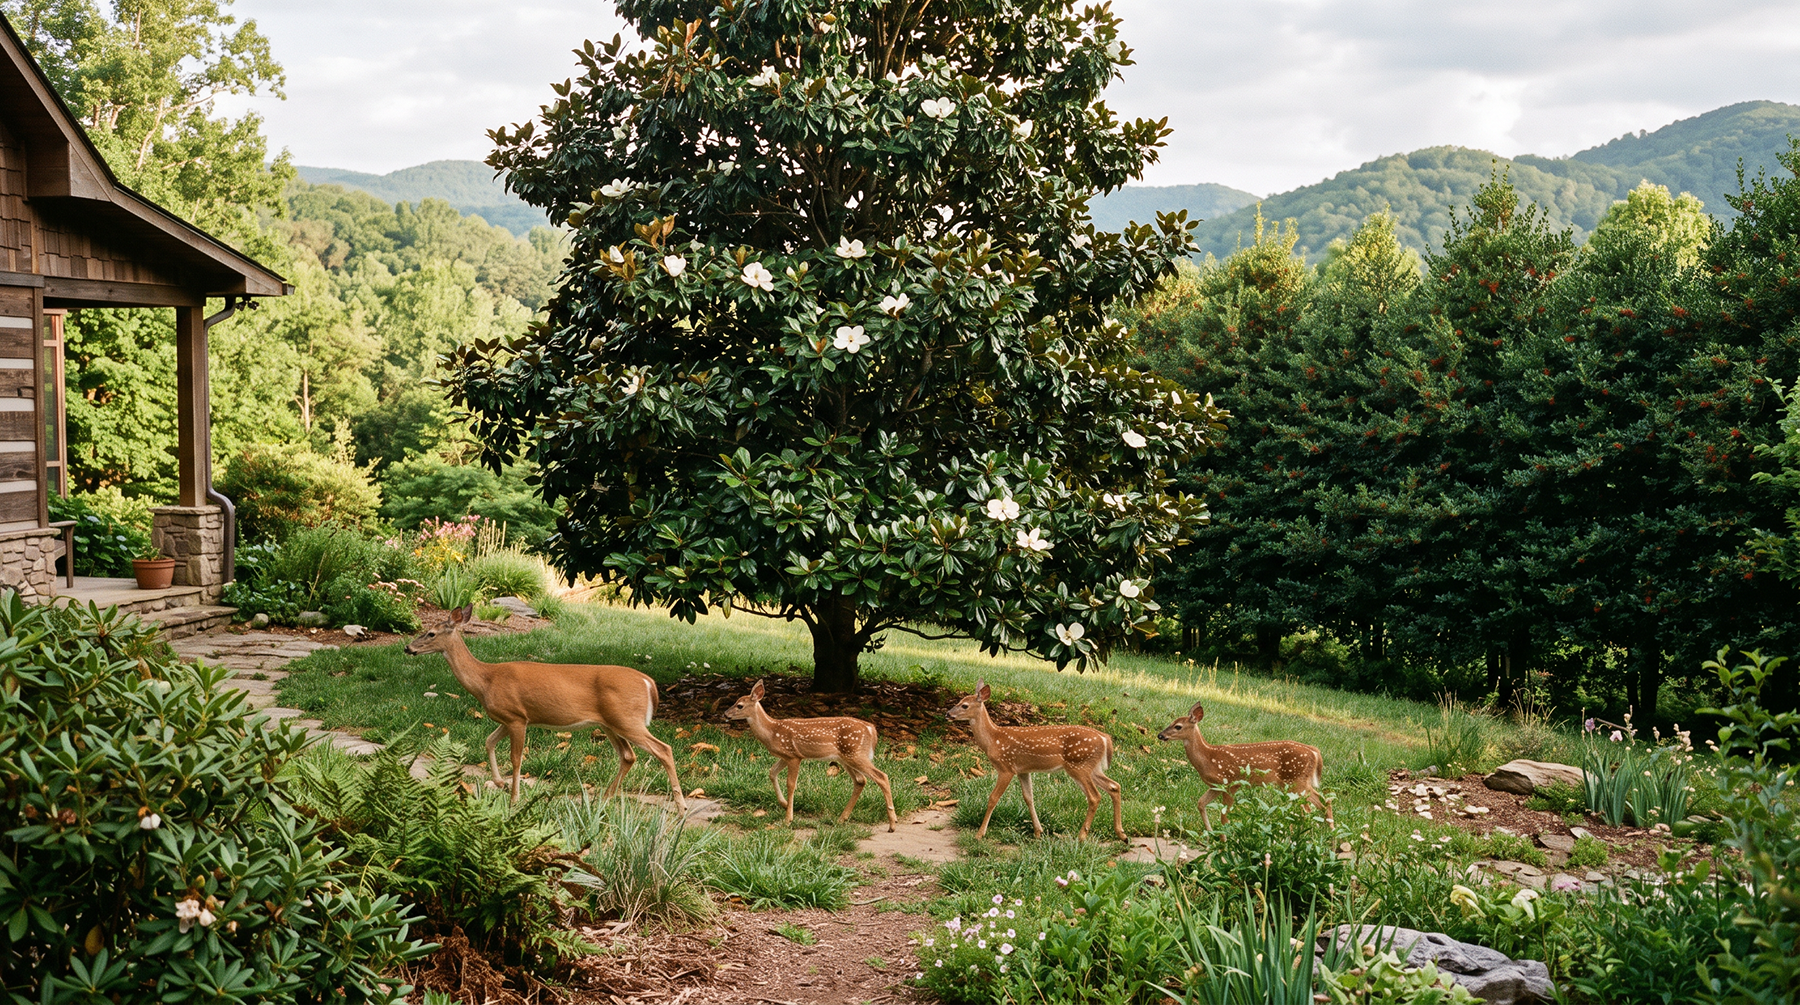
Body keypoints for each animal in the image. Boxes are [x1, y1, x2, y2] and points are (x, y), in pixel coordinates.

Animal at [403, 605, 686, 811]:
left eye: (431, 633)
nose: (407, 647)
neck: (486, 680)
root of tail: (649, 682)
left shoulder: (517, 717)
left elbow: (516, 759)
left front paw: (514, 799)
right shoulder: (511, 718)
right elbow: (488, 741)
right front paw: (500, 783)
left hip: (627, 719)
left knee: (664, 749)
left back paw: (680, 806)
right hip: (611, 723)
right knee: (628, 756)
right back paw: (603, 800)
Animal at [722, 680, 898, 831]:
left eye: (739, 705)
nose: (725, 714)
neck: (772, 731)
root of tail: (872, 730)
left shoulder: (794, 756)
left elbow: (791, 784)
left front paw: (788, 819)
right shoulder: (785, 756)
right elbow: (772, 772)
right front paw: (784, 804)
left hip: (855, 754)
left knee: (882, 776)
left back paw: (892, 824)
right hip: (846, 757)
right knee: (861, 781)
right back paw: (842, 819)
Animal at [946, 681, 1125, 842]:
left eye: (964, 705)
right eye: (958, 701)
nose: (947, 713)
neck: (993, 739)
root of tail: (1105, 738)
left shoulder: (1006, 767)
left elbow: (993, 798)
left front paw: (979, 834)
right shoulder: (1023, 770)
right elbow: (1029, 798)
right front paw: (1038, 832)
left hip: (1078, 765)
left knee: (1095, 796)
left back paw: (1082, 836)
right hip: (1091, 767)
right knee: (1114, 786)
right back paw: (1122, 835)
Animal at [1157, 701, 1331, 829]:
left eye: (1178, 726)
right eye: (1171, 722)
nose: (1160, 735)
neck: (1208, 758)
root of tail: (1315, 752)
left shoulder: (1231, 783)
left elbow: (1224, 818)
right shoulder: (1215, 786)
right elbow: (1201, 804)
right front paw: (1210, 835)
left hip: (1296, 781)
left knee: (1313, 807)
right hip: (1293, 783)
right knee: (1320, 803)